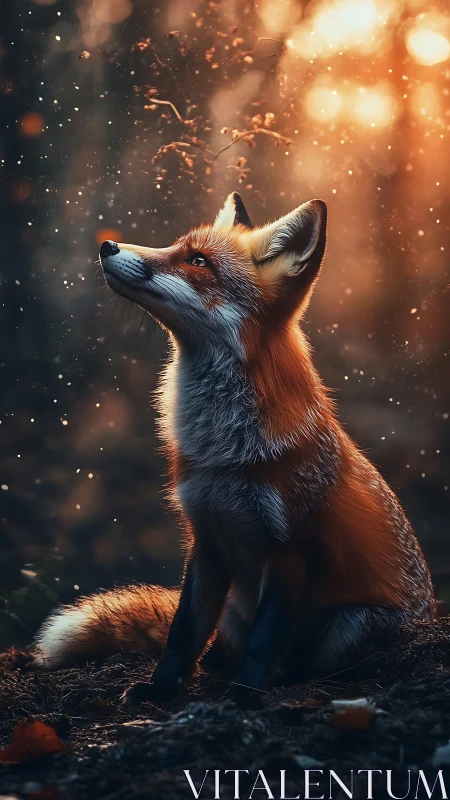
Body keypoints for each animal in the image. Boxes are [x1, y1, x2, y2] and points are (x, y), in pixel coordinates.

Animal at [34, 192, 435, 703]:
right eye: (177, 246)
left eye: (198, 261)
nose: (106, 246)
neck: (221, 453)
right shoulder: (206, 538)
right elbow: (183, 630)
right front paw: (161, 688)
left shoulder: (291, 550)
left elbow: (263, 641)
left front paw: (246, 696)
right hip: (236, 611)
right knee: (215, 647)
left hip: (355, 621)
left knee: (300, 659)